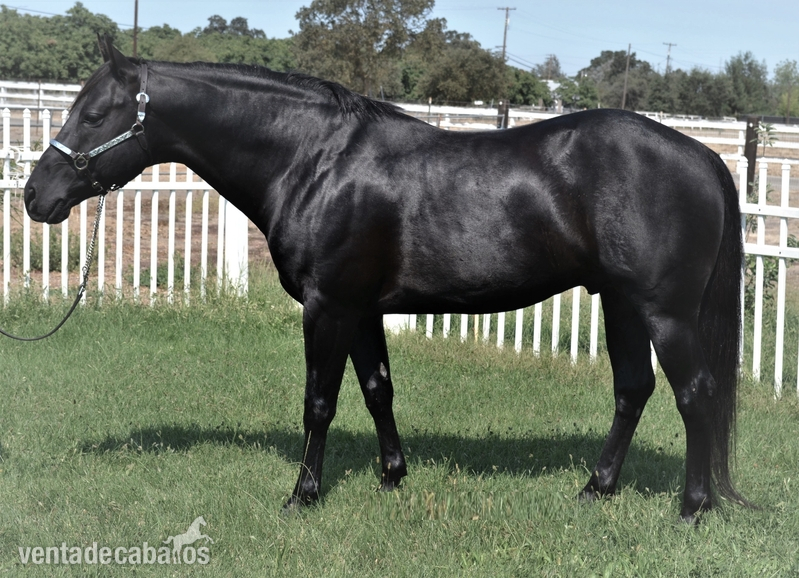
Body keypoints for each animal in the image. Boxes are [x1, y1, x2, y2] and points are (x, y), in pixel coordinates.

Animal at [24, 37, 749, 523]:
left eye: (95, 115)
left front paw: (302, 495)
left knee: (694, 394)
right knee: (633, 390)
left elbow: (319, 401)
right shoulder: (362, 309)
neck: (314, 160)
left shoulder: (328, 306)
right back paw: (596, 489)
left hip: (664, 312)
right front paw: (392, 476)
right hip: (621, 303)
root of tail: (703, 156)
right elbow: (377, 390)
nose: (36, 196)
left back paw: (691, 507)